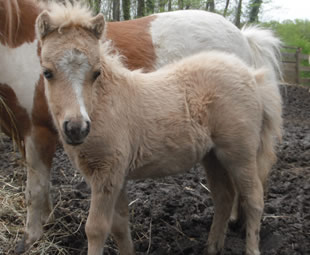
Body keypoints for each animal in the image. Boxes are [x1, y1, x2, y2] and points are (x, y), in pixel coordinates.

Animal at [0, 0, 284, 252]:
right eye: (46, 72)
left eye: (96, 72)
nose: (76, 128)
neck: (107, 103)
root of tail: (251, 75)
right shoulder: (115, 175)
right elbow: (119, 226)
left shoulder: (105, 173)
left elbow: (95, 227)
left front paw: (30, 239)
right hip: (213, 156)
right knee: (224, 197)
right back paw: (213, 246)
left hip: (240, 153)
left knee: (254, 199)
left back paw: (250, 248)